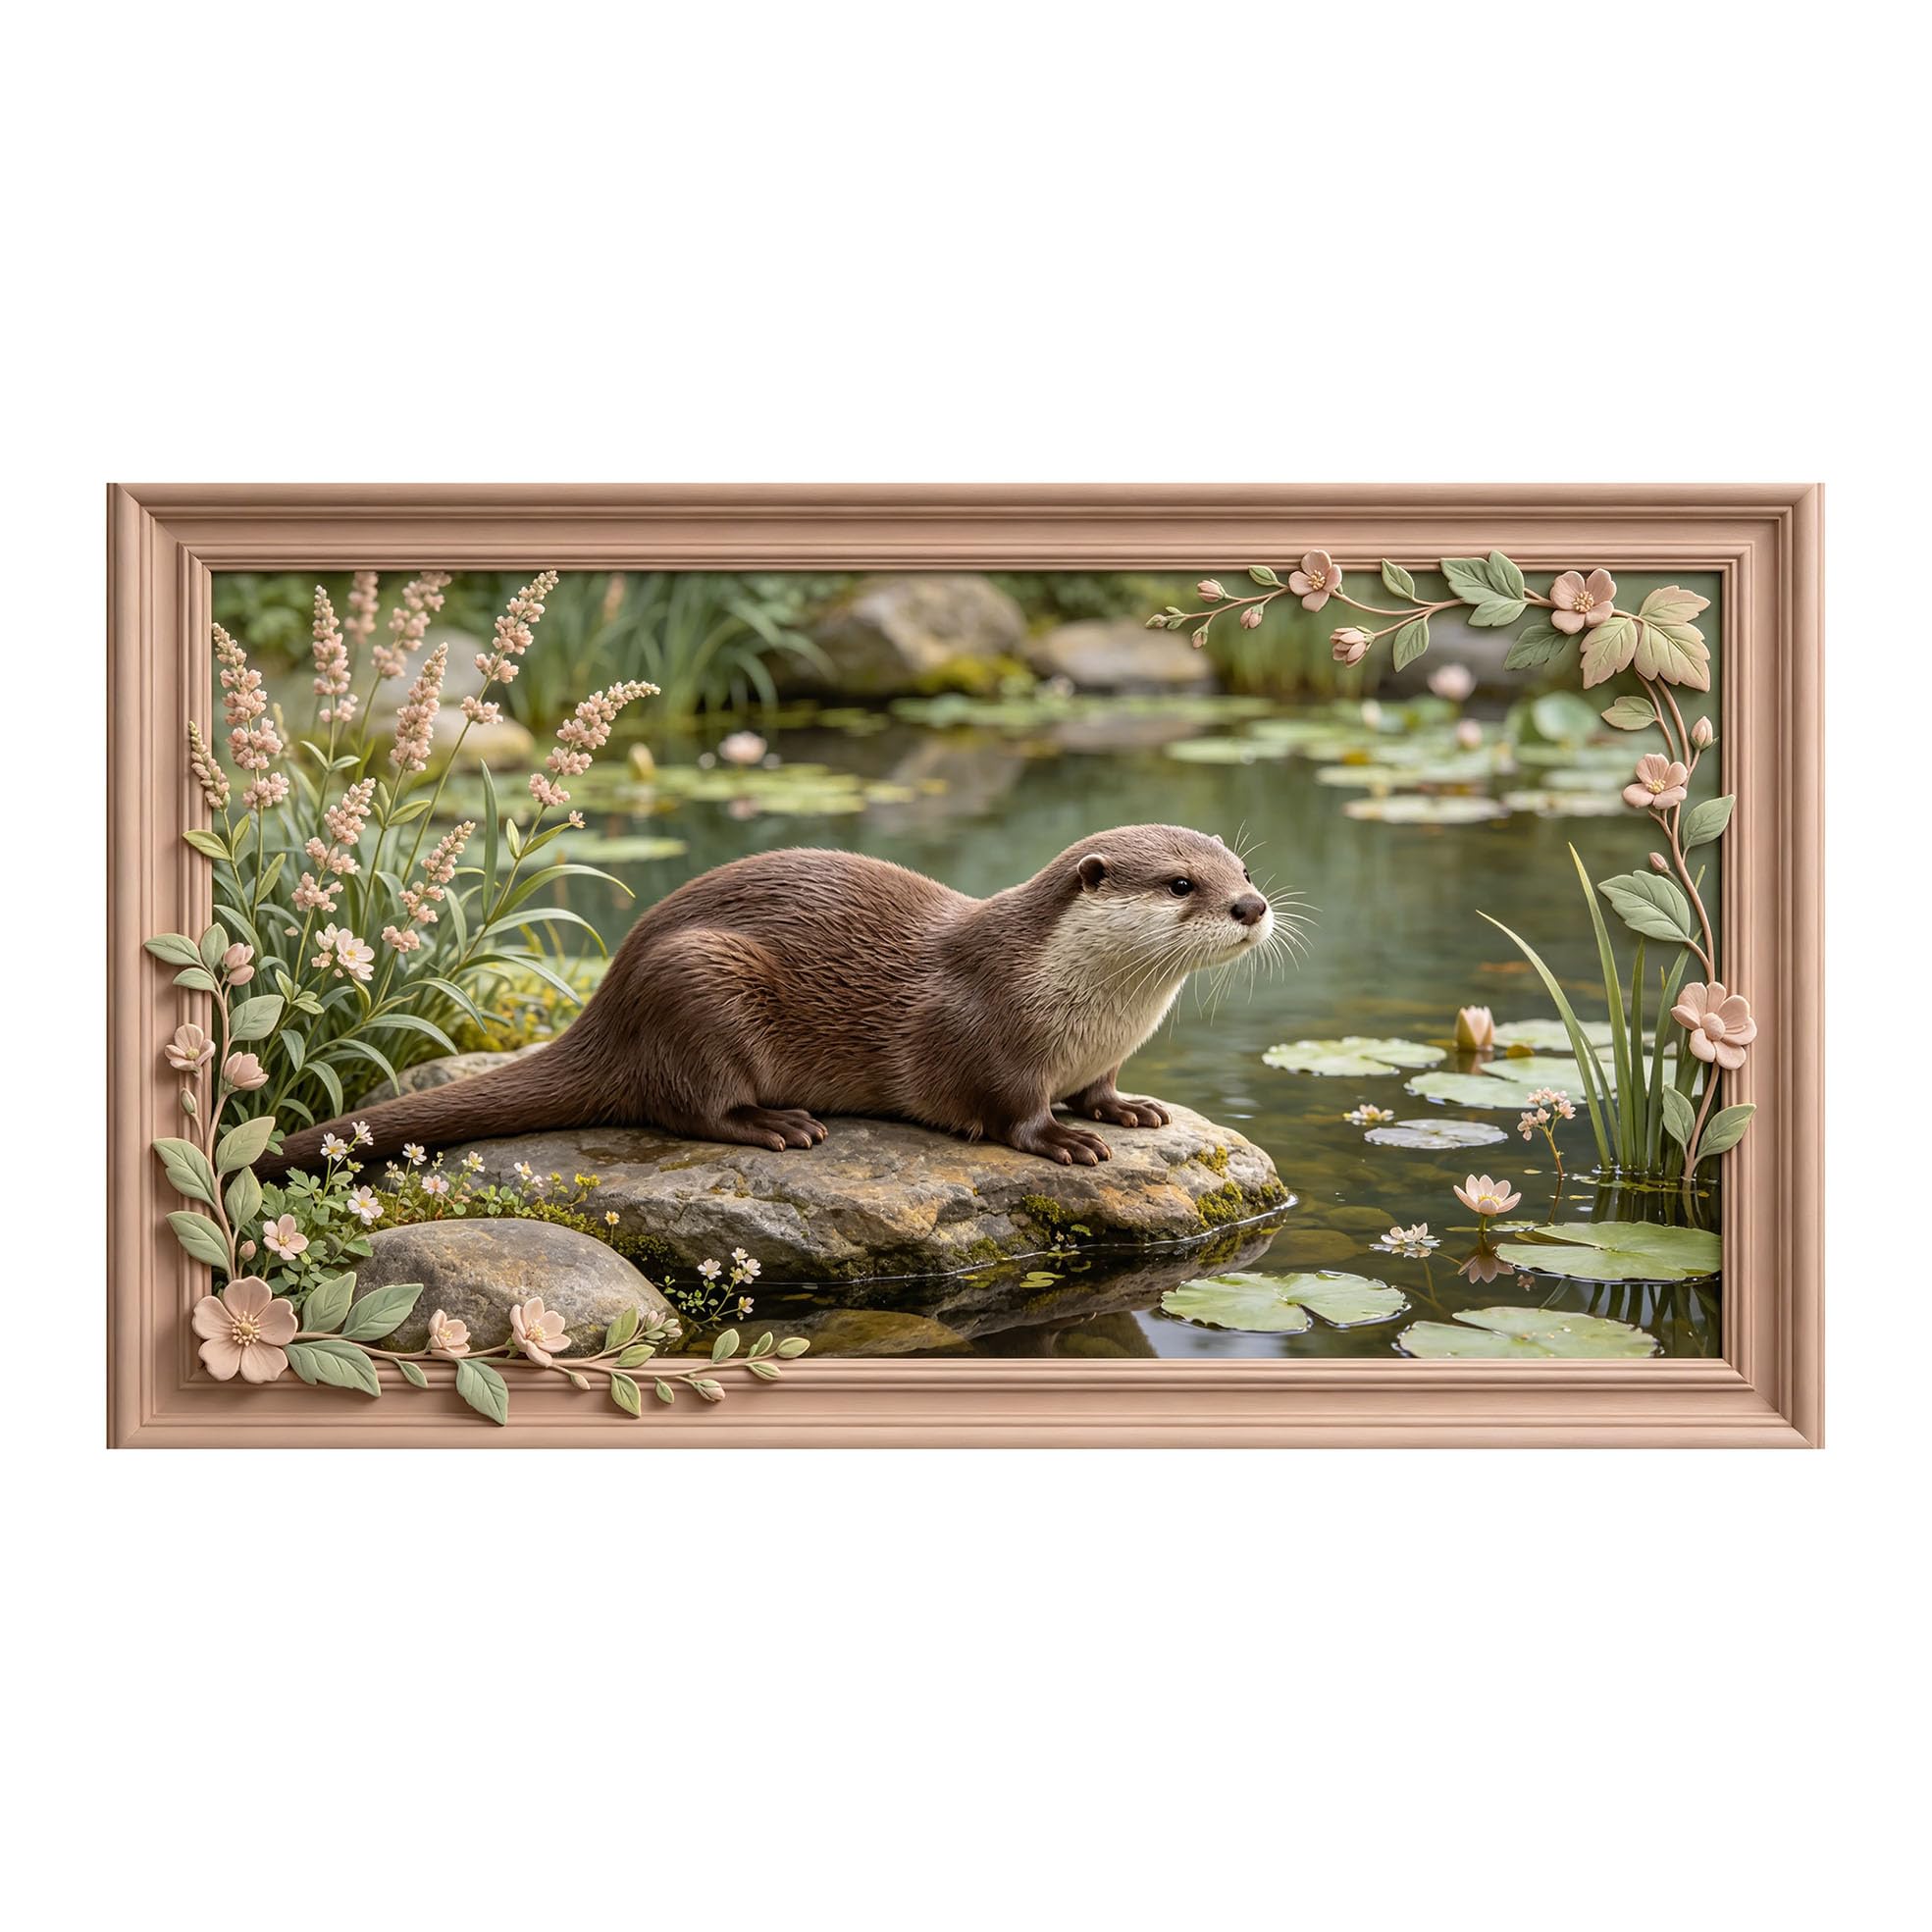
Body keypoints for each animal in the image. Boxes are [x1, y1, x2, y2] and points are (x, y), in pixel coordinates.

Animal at [262, 825, 1274, 1174]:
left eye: (1243, 866)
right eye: (1181, 884)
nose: (1252, 905)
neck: (1085, 1009)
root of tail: (608, 1004)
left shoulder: (1102, 1050)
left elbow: (1102, 1086)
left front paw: (1126, 1108)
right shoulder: (979, 1033)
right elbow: (1003, 1110)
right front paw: (1062, 1138)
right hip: (698, 981)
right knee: (684, 1107)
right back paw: (777, 1125)